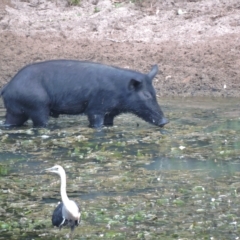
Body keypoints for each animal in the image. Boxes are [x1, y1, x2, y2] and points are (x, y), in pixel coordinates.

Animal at [0, 60, 169, 127]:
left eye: (155, 92)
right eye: (146, 95)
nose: (165, 121)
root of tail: (7, 87)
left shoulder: (110, 113)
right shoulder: (96, 108)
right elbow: (95, 122)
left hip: (15, 110)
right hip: (37, 106)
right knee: (40, 122)